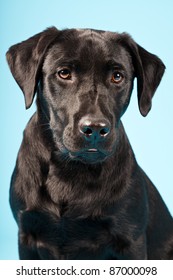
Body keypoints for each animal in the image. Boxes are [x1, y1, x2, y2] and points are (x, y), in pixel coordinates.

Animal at [6, 27, 173, 260]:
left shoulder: (130, 241)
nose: (94, 128)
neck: (69, 171)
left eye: (117, 76)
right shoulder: (27, 235)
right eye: (64, 73)